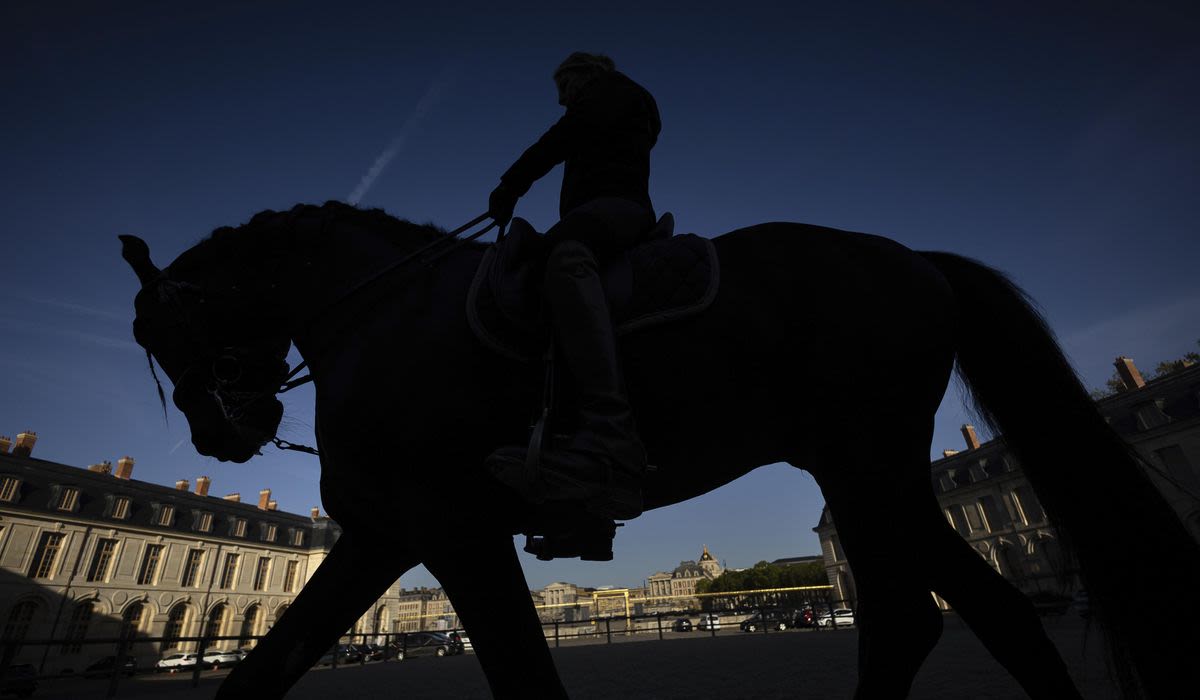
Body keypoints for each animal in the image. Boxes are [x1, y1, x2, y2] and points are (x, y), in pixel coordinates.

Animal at [121, 200, 1200, 696]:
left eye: (157, 332)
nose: (222, 433)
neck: (381, 315)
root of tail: (917, 261)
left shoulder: (453, 526)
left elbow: (524, 672)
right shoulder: (388, 533)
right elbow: (270, 661)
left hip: (866, 462)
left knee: (915, 616)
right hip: (868, 468)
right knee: (979, 612)